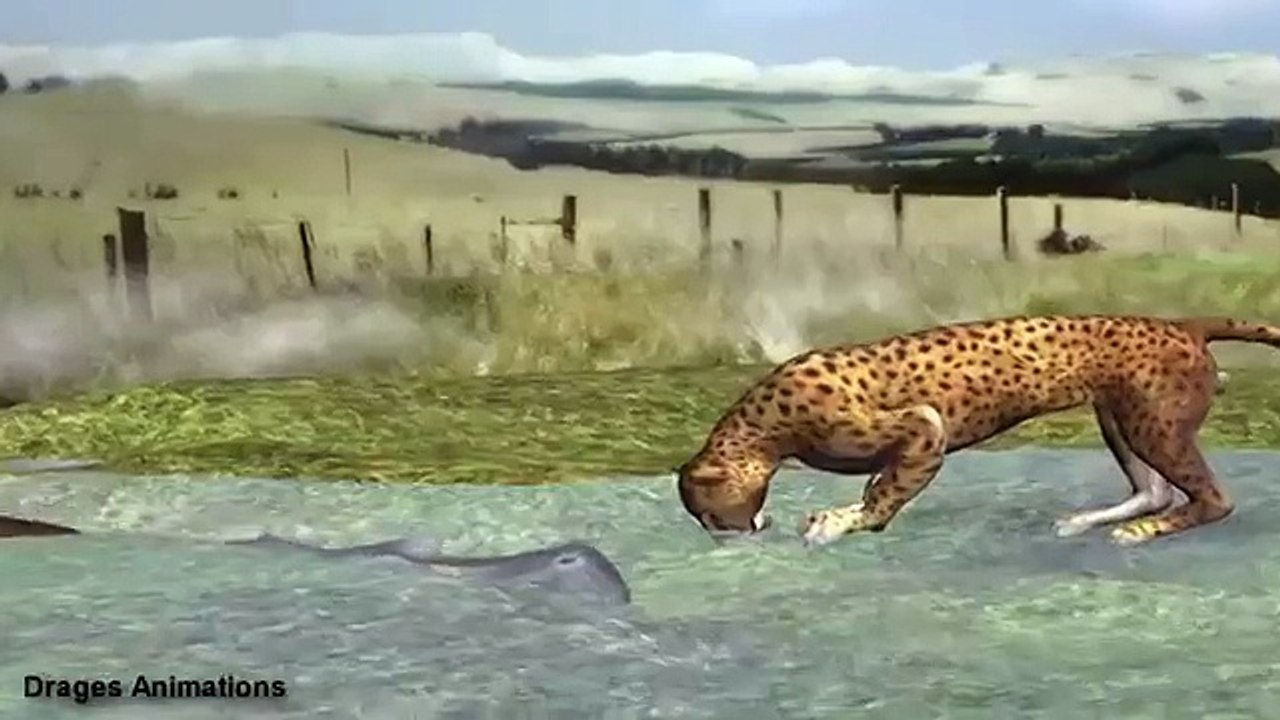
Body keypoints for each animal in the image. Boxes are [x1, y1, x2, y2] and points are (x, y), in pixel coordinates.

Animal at [675, 314, 1280, 548]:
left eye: (709, 513)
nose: (725, 533)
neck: (757, 428)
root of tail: (1183, 323)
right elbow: (882, 484)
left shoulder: (925, 426)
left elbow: (885, 496)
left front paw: (841, 522)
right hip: (1122, 417)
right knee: (1155, 490)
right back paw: (1089, 522)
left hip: (1153, 424)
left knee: (1213, 499)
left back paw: (1142, 532)